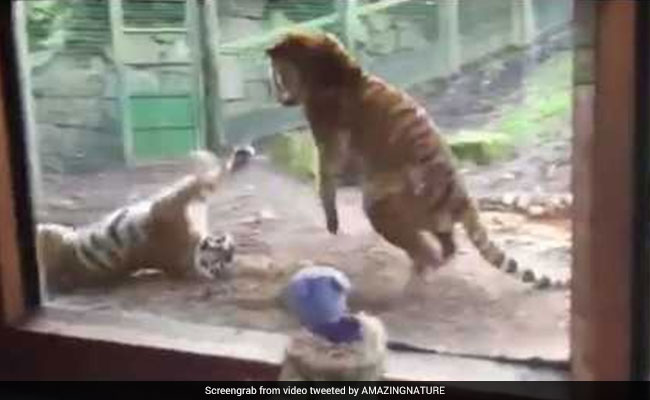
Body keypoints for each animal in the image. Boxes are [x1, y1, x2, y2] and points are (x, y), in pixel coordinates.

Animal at [36, 146, 255, 293]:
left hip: (50, 233)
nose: (231, 249)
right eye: (226, 252)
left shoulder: (169, 204)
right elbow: (208, 180)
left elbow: (207, 181)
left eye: (222, 261)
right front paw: (229, 158)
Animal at [266, 31, 569, 290]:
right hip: (430, 217)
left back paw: (423, 269)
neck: (331, 68)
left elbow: (326, 179)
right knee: (448, 244)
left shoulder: (328, 140)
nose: (277, 95)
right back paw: (434, 264)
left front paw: (331, 220)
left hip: (384, 203)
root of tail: (463, 196)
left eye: (279, 73)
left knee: (423, 246)